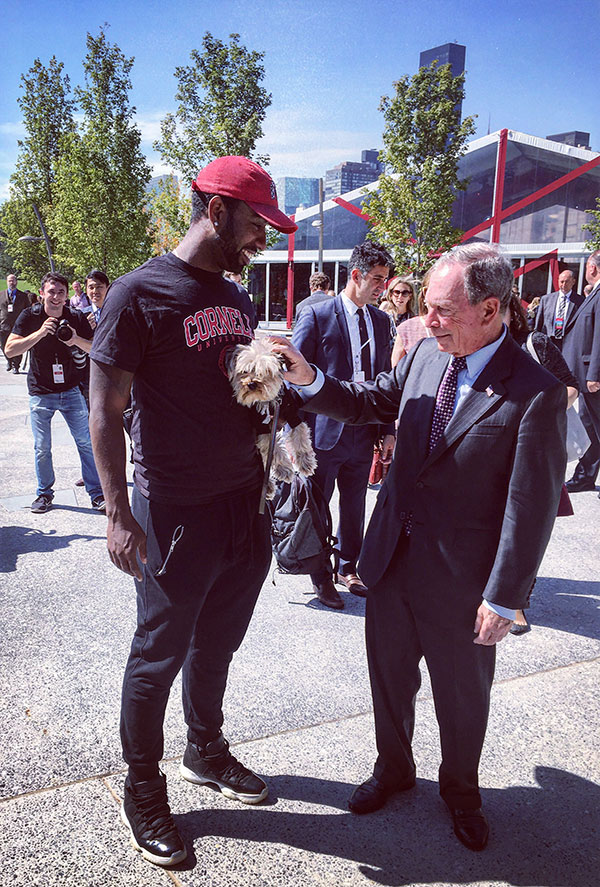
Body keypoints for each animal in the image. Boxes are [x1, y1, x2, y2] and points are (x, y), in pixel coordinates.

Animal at [226, 336, 318, 496]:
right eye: (244, 371)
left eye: (266, 371)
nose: (251, 384)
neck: (269, 402)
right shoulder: (263, 429)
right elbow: (274, 449)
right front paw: (285, 470)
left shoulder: (292, 415)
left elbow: (300, 436)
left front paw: (306, 462)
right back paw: (268, 485)